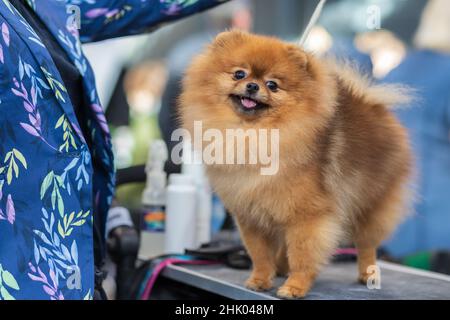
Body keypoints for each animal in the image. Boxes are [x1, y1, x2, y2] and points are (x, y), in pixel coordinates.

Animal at [178, 31, 414, 298]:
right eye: (239, 74)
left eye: (272, 84)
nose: (252, 86)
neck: (251, 134)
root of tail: (373, 104)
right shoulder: (251, 216)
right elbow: (260, 255)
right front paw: (260, 279)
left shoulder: (307, 216)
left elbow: (303, 254)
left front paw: (295, 287)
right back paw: (281, 267)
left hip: (371, 205)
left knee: (366, 244)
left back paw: (367, 274)